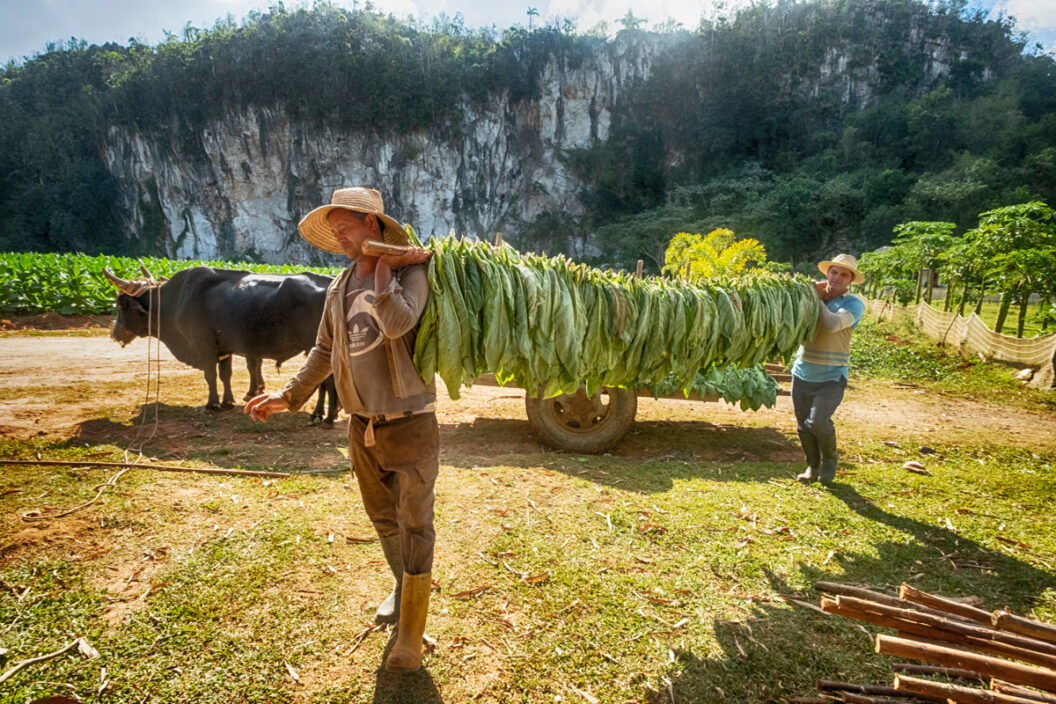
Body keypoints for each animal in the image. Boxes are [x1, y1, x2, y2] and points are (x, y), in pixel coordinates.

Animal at [103, 266, 339, 425]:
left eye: (121, 305)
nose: (113, 335)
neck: (177, 299)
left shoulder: (204, 346)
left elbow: (210, 375)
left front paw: (212, 404)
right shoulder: (225, 349)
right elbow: (226, 375)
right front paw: (227, 402)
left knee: (327, 383)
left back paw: (323, 416)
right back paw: (326, 414)